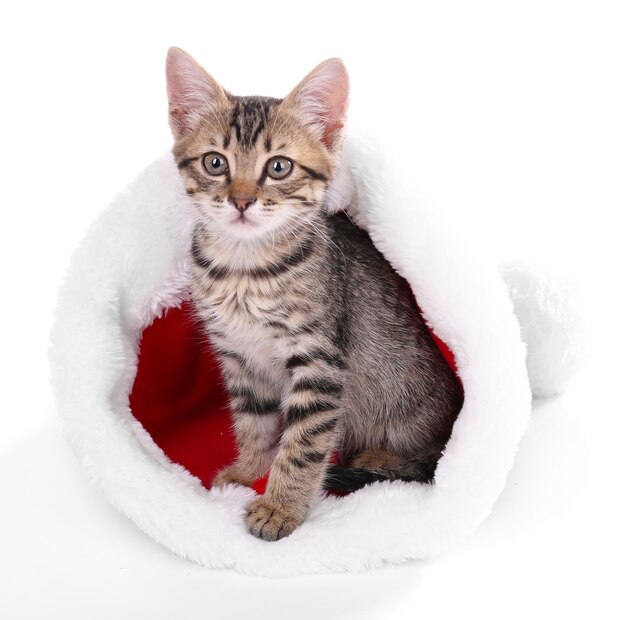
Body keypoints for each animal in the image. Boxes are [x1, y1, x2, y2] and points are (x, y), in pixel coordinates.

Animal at [163, 48, 460, 540]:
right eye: (215, 163)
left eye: (278, 167)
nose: (241, 201)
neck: (244, 270)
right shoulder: (239, 358)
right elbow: (254, 422)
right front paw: (247, 473)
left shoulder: (319, 362)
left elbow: (302, 445)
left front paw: (280, 507)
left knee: (426, 458)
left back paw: (380, 459)